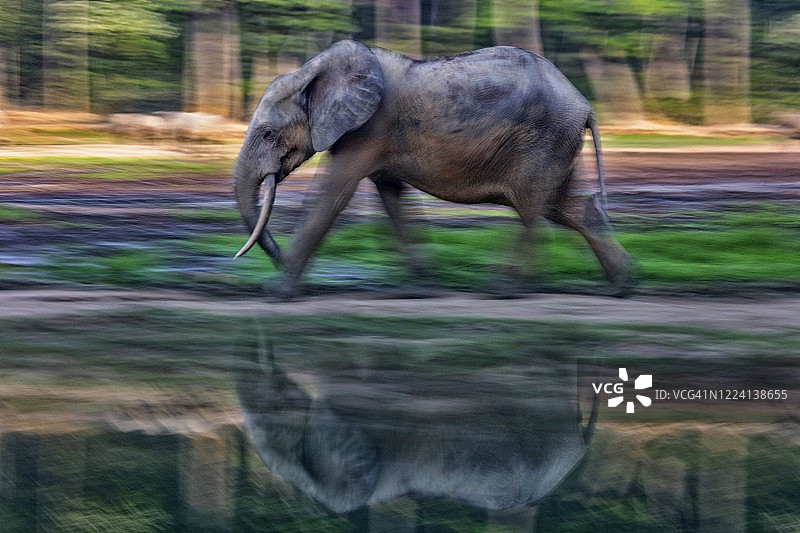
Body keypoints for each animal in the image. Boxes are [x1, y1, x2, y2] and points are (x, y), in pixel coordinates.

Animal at [233, 40, 635, 298]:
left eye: (268, 134)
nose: (276, 259)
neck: (312, 71)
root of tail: (584, 104)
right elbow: (391, 194)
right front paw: (420, 287)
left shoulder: (369, 130)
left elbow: (332, 195)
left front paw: (277, 293)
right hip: (557, 143)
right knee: (569, 208)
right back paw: (622, 285)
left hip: (544, 139)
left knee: (534, 210)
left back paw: (503, 290)